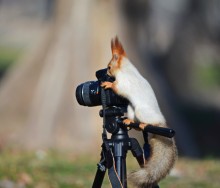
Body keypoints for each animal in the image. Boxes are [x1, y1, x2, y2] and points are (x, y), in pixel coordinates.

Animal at [101, 36, 177, 188]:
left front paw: (108, 84)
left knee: (149, 122)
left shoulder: (124, 83)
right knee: (133, 118)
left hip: (141, 111)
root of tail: (160, 121)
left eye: (109, 66)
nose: (106, 73)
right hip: (131, 109)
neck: (126, 70)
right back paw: (128, 120)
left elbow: (118, 88)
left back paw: (143, 124)